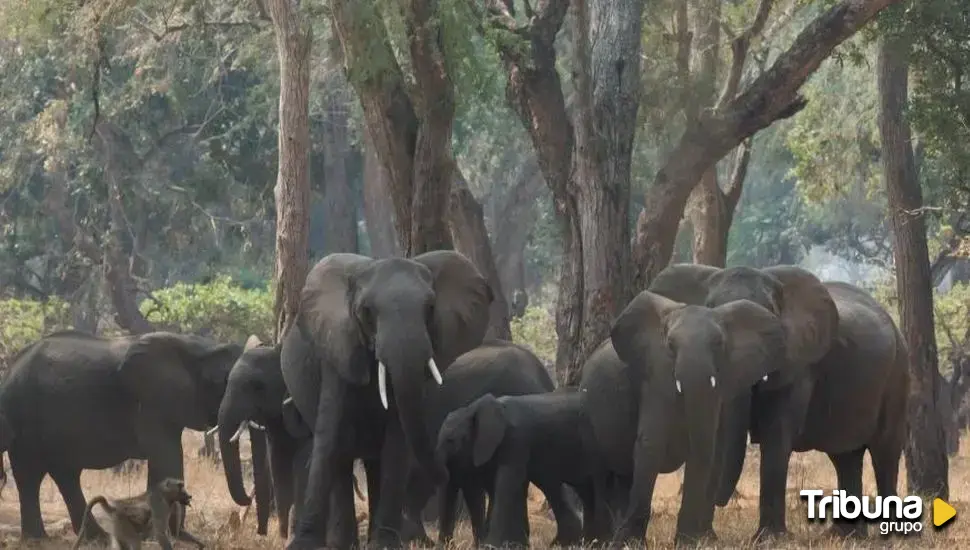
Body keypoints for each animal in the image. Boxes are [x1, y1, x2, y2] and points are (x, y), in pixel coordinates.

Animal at [0, 332, 246, 544]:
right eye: (224, 383)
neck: (202, 347)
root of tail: (11, 369)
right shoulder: (151, 401)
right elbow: (168, 457)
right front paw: (173, 535)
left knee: (64, 474)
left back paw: (94, 538)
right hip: (24, 414)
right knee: (31, 473)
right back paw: (38, 539)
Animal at [278, 251, 492, 550]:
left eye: (430, 307)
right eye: (367, 311)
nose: (445, 473)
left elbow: (396, 442)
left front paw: (386, 545)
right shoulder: (337, 350)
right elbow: (330, 437)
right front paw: (303, 545)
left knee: (375, 463)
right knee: (342, 458)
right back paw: (345, 544)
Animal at [436, 390, 604, 548]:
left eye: (451, 440)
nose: (448, 545)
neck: (473, 408)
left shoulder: (516, 441)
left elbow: (505, 486)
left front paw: (492, 546)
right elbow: (498, 488)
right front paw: (512, 545)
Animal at [648, 266, 904, 540]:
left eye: (768, 322)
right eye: (709, 309)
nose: (719, 502)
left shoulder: (798, 364)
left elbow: (776, 435)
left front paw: (768, 539)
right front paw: (705, 539)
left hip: (898, 373)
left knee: (884, 452)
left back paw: (889, 537)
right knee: (845, 456)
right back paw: (844, 536)